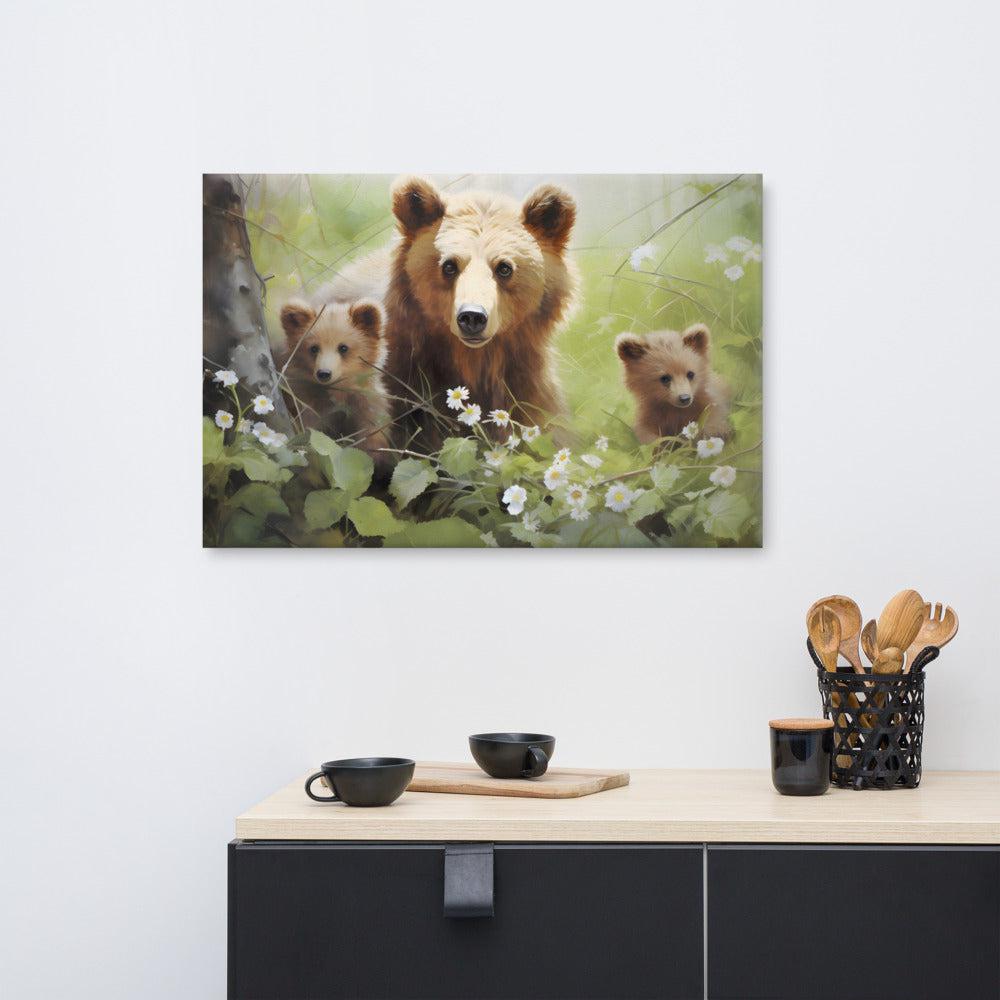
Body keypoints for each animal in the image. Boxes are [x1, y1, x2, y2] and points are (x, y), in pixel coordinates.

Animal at [276, 295, 392, 468]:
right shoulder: (307, 403)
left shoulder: (366, 406)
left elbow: (373, 437)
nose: (324, 373)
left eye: (343, 347)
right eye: (314, 348)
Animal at [382, 175, 578, 447]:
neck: (475, 361)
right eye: (449, 266)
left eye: (504, 268)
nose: (472, 316)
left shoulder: (527, 387)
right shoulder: (407, 381)